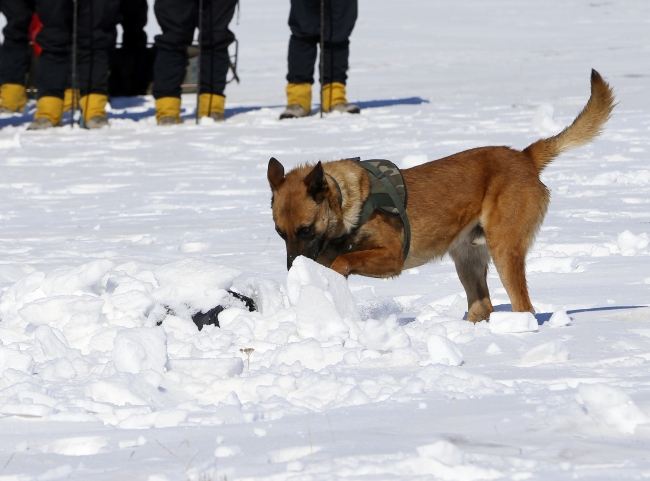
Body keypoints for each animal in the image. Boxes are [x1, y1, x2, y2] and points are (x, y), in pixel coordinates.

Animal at [264, 69, 612, 320]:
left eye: (305, 229)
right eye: (280, 233)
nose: (292, 267)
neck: (348, 203)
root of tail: (525, 156)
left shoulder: (392, 257)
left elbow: (344, 260)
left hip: (504, 248)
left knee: (523, 306)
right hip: (468, 257)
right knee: (482, 306)